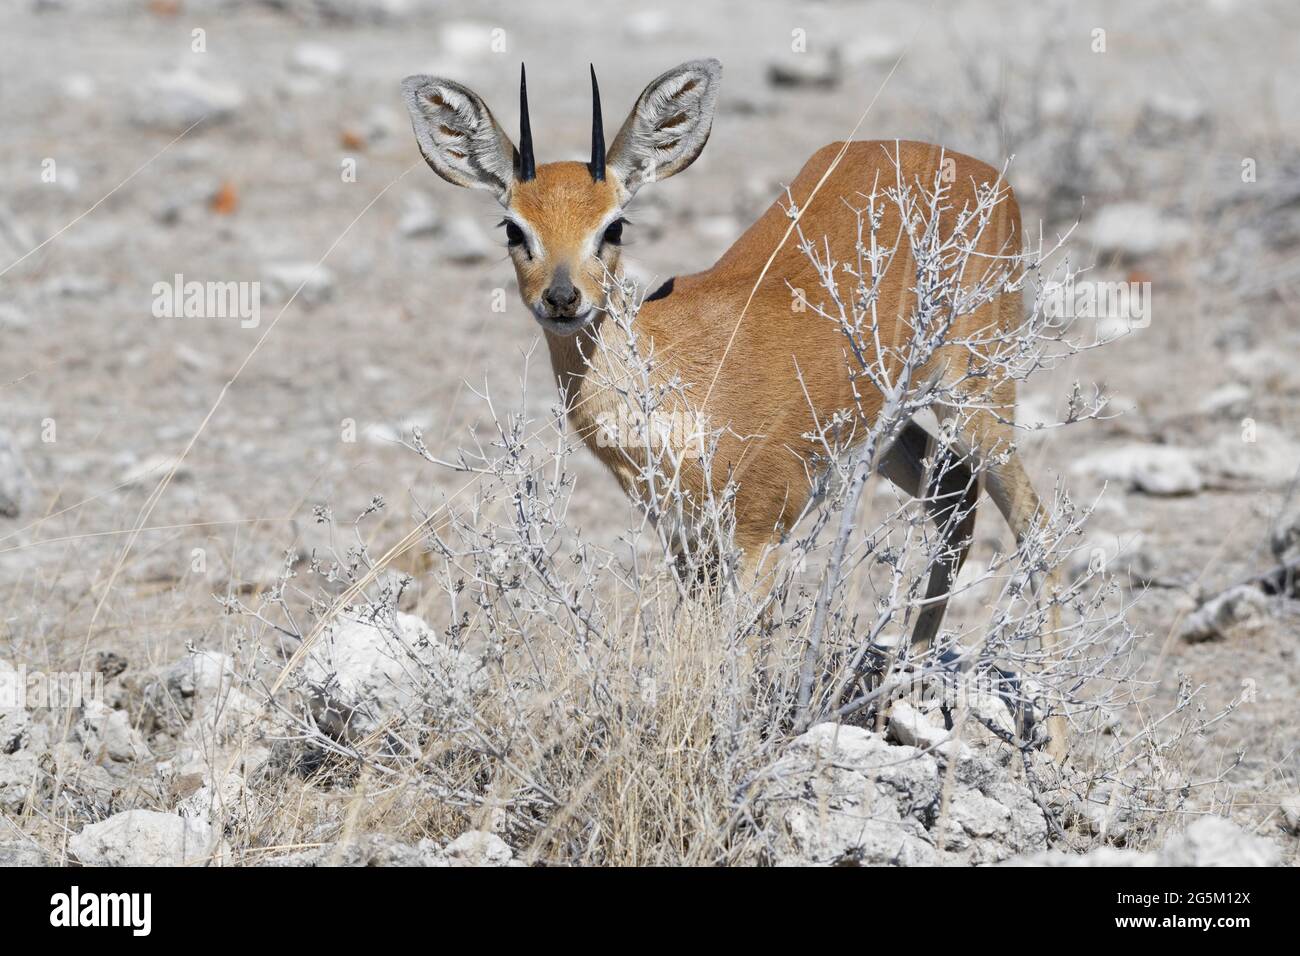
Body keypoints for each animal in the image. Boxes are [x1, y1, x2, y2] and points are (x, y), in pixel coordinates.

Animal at [403, 61, 1066, 764]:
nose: (562, 298)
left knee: (1036, 523)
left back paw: (1056, 746)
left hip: (976, 392)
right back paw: (904, 695)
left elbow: (738, 656)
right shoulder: (687, 542)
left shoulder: (759, 535)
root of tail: (988, 176)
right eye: (513, 226)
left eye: (614, 225)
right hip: (889, 431)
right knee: (954, 494)